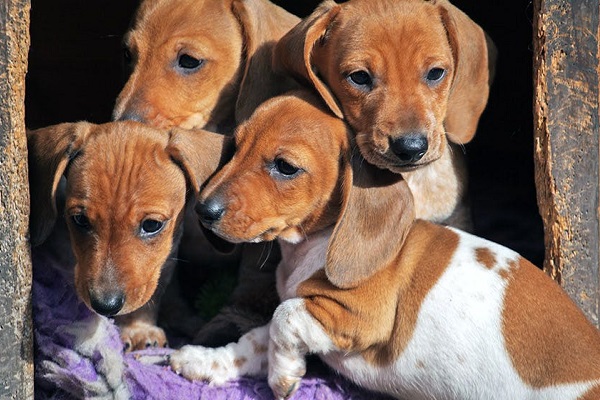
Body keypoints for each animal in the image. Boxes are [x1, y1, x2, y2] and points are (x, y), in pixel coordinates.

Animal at [166, 91, 600, 400]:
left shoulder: (363, 316)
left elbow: (283, 316)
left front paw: (282, 375)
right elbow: (257, 337)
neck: (311, 247)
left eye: (285, 167)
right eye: (235, 147)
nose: (203, 210)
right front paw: (205, 360)